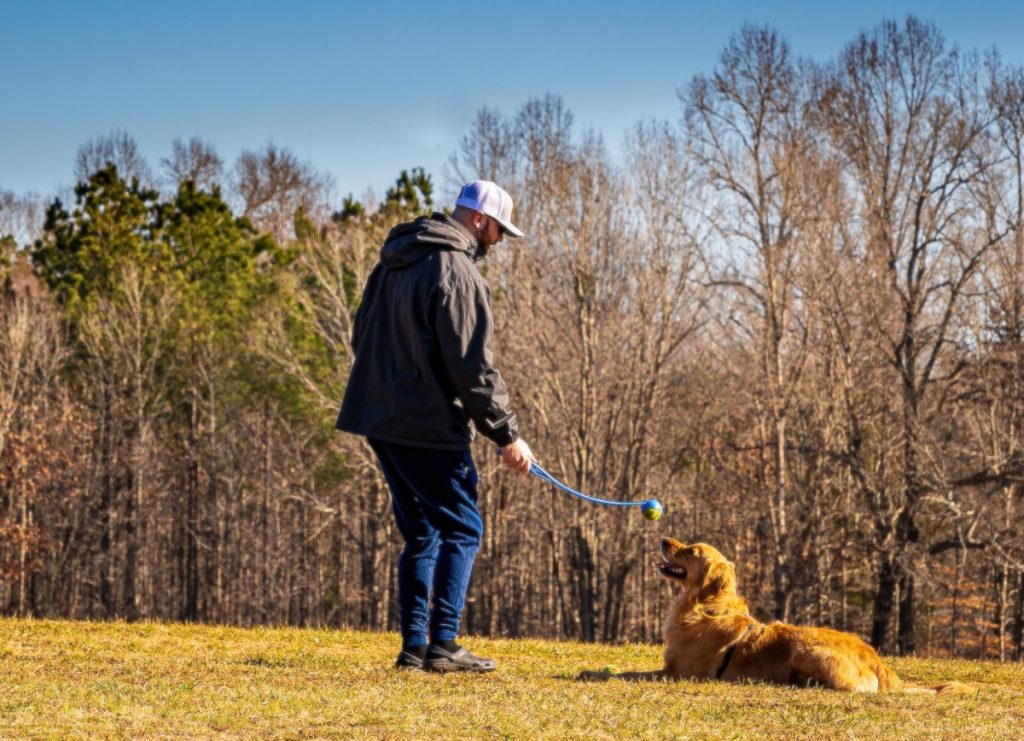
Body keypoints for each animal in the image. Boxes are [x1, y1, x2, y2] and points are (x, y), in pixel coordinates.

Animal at [581, 536, 970, 691]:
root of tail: (878, 662)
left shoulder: (678, 673)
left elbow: (629, 673)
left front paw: (595, 674)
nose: (664, 539)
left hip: (806, 649)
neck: (705, 606)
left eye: (690, 550)